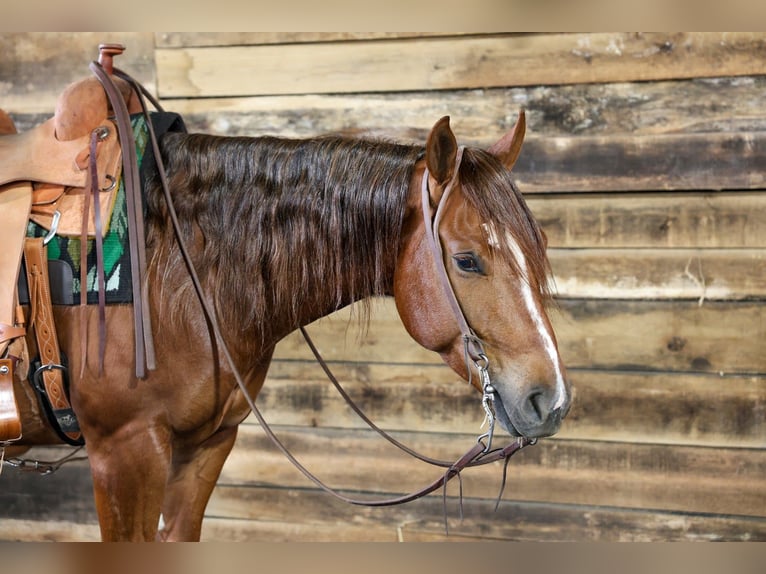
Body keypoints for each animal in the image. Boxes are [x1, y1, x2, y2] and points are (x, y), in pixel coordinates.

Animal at [9, 112, 571, 541]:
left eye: (539, 243)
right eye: (467, 260)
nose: (552, 401)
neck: (173, 277)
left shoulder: (207, 444)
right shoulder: (124, 453)